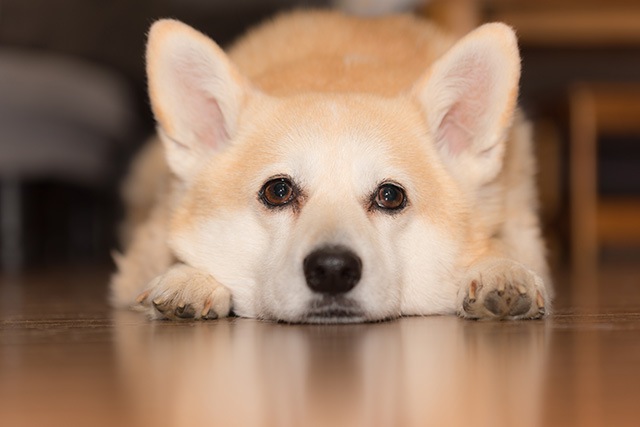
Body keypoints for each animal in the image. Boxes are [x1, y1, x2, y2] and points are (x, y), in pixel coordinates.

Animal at [110, 10, 552, 324]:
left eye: (390, 196)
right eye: (278, 191)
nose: (333, 270)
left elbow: (507, 246)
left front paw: (501, 271)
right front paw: (189, 277)